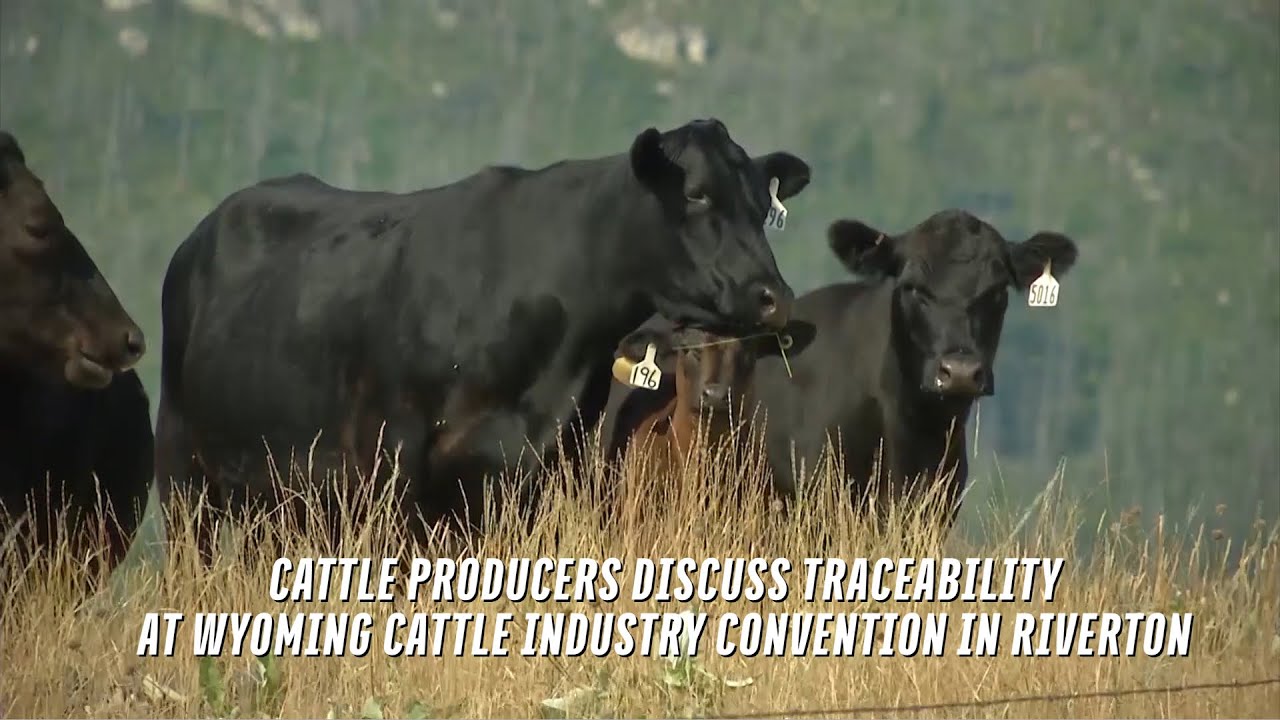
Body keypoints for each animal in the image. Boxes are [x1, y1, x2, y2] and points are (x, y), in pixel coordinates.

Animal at [154, 118, 811, 563]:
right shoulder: (391, 466)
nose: (773, 295)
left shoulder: (539, 474)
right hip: (182, 466)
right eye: (696, 193)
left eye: (763, 203)